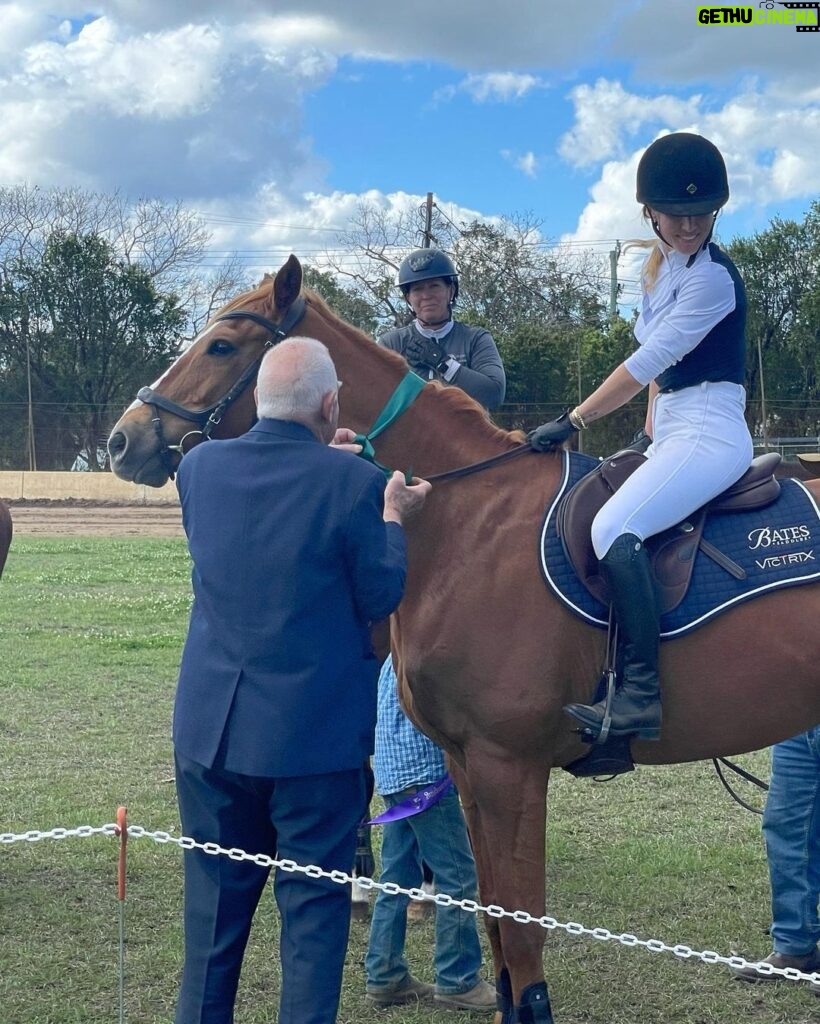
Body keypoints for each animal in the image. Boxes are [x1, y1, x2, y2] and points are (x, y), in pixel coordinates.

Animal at [106, 253, 818, 1015]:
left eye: (219, 346)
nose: (122, 440)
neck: (466, 517)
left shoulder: (509, 766)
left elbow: (522, 929)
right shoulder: (468, 764)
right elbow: (495, 923)